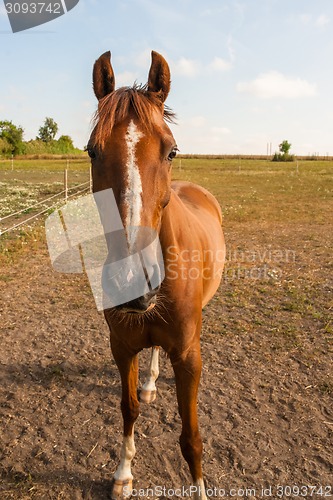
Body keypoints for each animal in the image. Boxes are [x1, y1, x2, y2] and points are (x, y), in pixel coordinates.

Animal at [87, 49, 224, 496]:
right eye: (92, 151)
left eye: (171, 151)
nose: (133, 282)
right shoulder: (121, 347)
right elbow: (128, 408)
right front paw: (123, 473)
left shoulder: (188, 357)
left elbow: (191, 438)